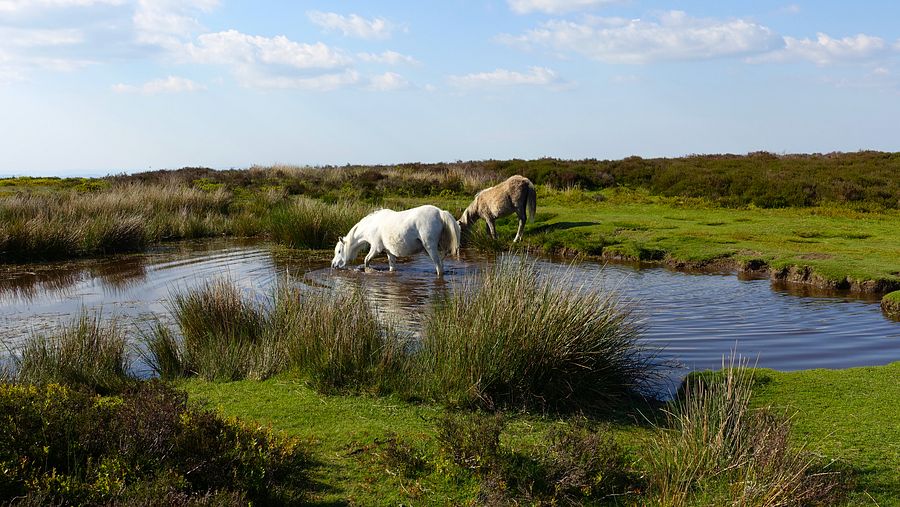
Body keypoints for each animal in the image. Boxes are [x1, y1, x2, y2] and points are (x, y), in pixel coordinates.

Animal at [331, 205, 461, 277]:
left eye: (339, 251)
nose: (333, 265)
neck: (372, 225)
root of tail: (440, 212)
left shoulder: (375, 249)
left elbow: (366, 260)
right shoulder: (389, 252)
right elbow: (392, 267)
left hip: (430, 247)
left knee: (439, 267)